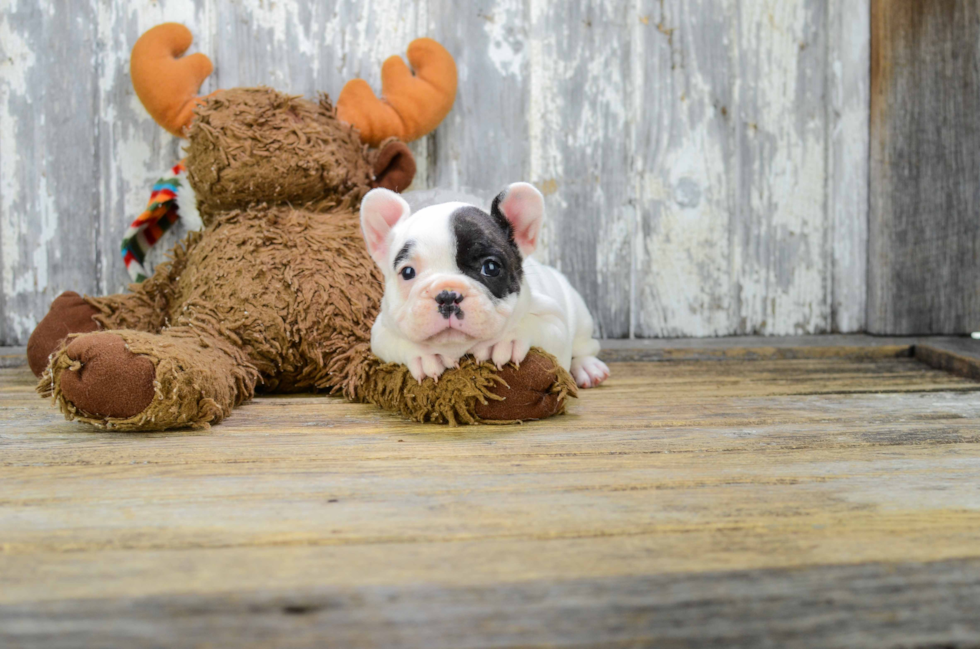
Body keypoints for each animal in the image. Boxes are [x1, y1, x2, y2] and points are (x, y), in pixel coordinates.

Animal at [360, 180, 604, 388]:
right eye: (408, 272)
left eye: (491, 267)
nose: (447, 295)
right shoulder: (380, 332)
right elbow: (396, 342)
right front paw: (424, 354)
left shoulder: (555, 322)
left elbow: (536, 324)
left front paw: (506, 340)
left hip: (581, 319)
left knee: (585, 347)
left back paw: (588, 368)